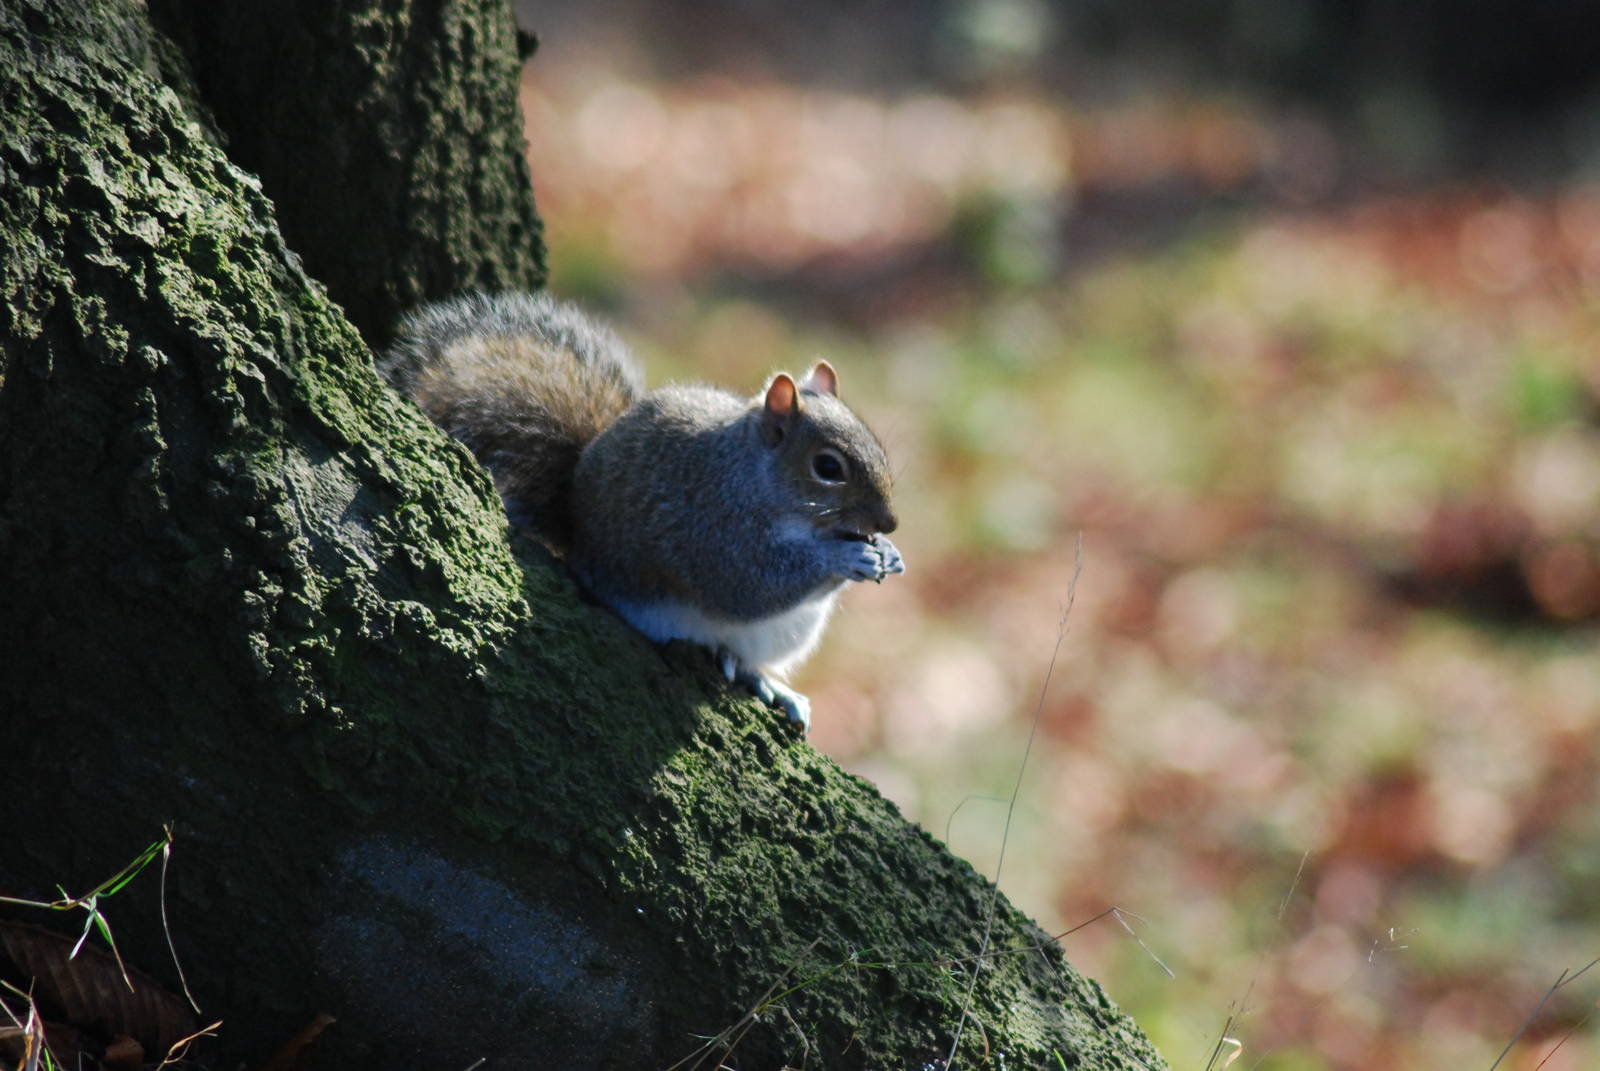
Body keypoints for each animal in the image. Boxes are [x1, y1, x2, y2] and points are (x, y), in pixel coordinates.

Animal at [381, 290, 904, 732]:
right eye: (828, 467)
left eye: (876, 443)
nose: (889, 522)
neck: (755, 475)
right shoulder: (713, 524)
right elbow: (750, 585)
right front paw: (846, 558)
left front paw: (888, 553)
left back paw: (770, 683)